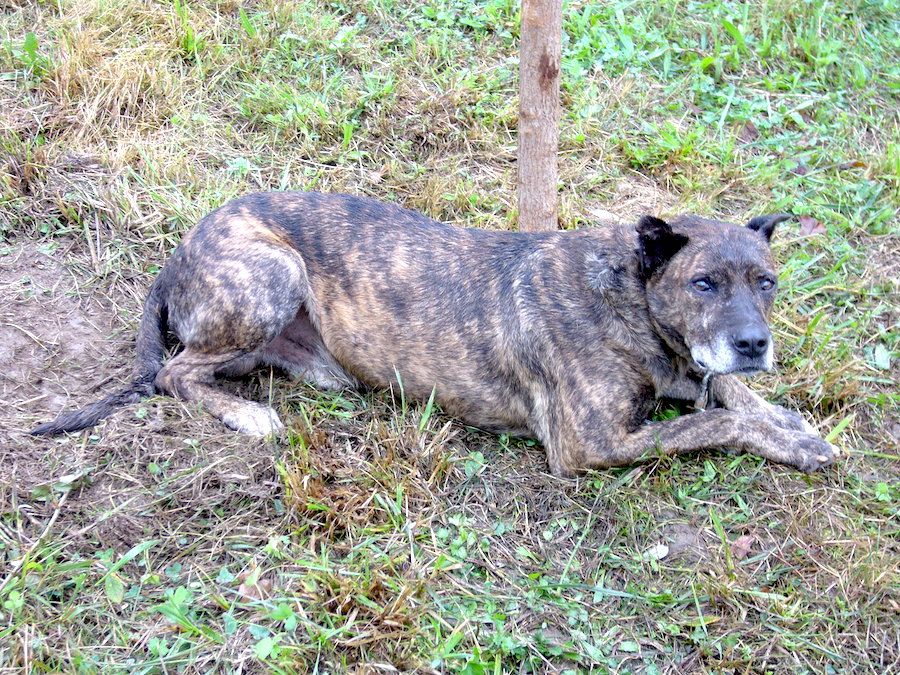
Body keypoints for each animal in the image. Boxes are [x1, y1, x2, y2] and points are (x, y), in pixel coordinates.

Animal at [31, 190, 840, 476]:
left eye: (765, 281)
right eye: (704, 284)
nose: (754, 342)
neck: (632, 297)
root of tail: (178, 253)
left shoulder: (688, 370)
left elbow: (724, 393)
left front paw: (785, 417)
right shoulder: (591, 445)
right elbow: (707, 426)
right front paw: (789, 441)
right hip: (271, 273)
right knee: (176, 373)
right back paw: (251, 416)